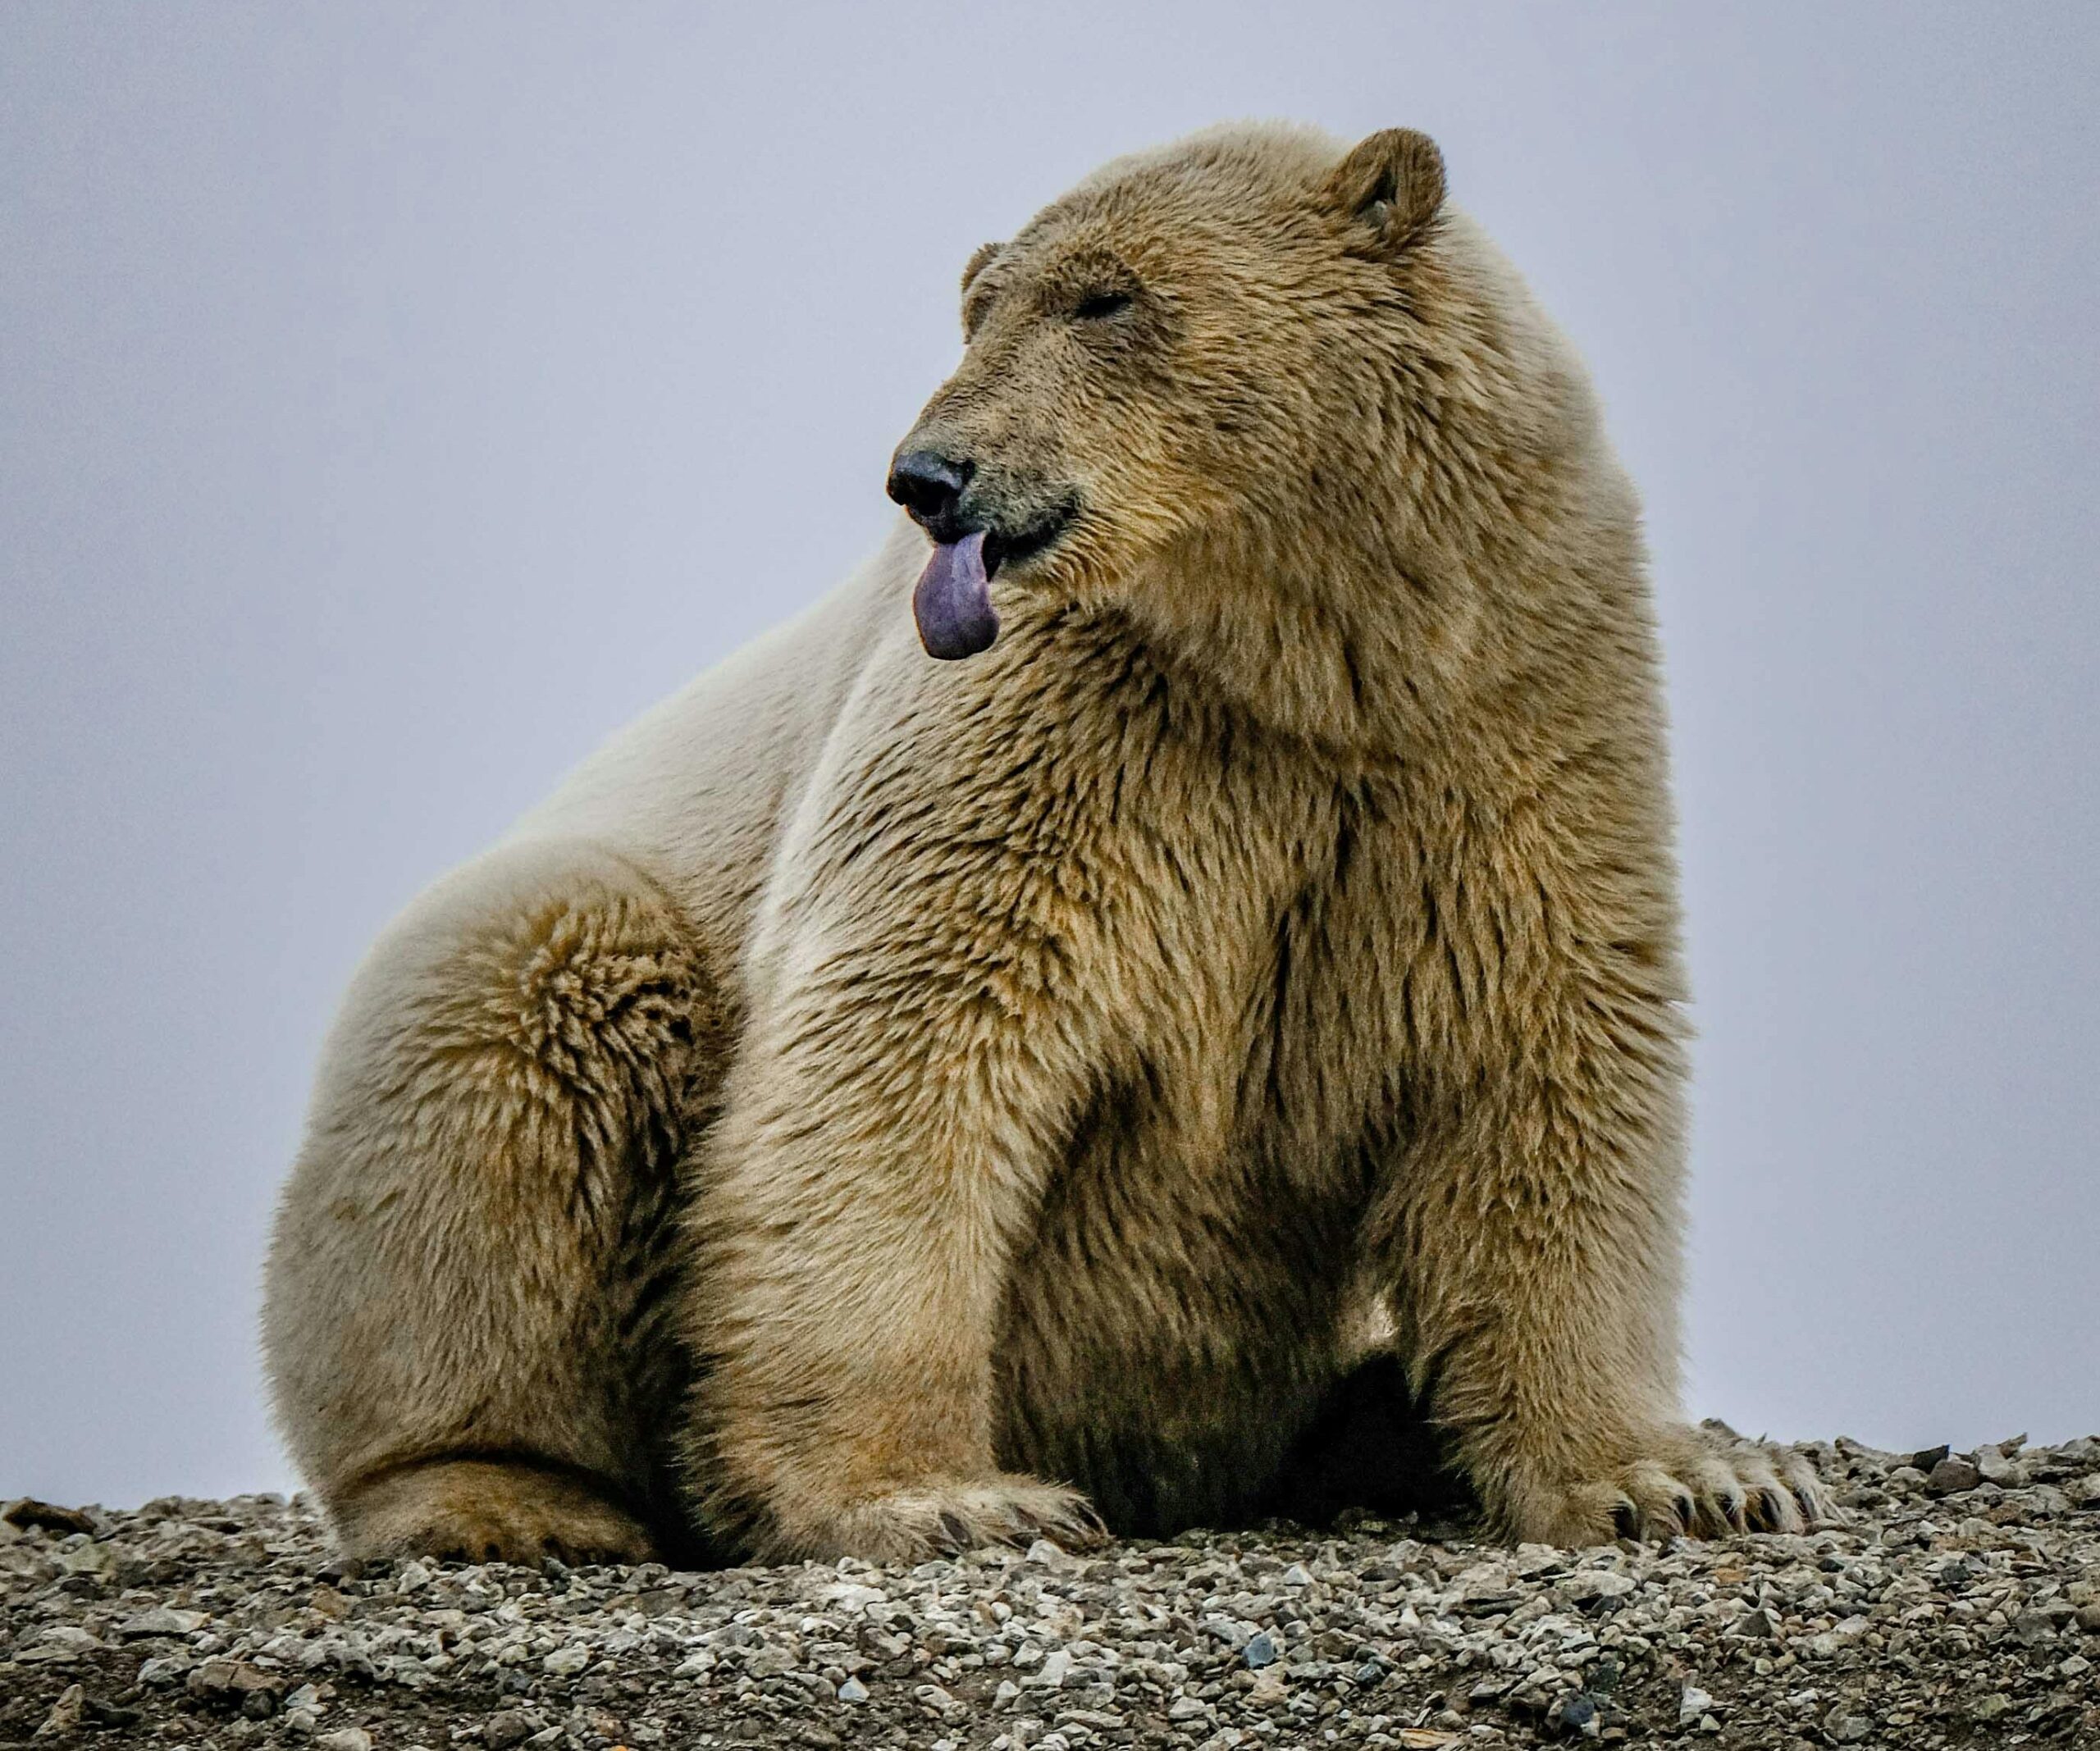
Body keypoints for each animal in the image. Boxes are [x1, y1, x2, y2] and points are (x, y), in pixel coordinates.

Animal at [262, 120, 1833, 1567]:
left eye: (1107, 297)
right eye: (982, 306)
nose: (927, 476)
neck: (1306, 657)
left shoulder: (1512, 706)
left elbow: (1542, 1046)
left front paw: (1685, 1476)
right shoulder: (1047, 727)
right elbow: (906, 1043)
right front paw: (944, 1496)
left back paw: (1385, 1419)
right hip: (573, 948)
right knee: (521, 1011)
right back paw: (503, 1497)